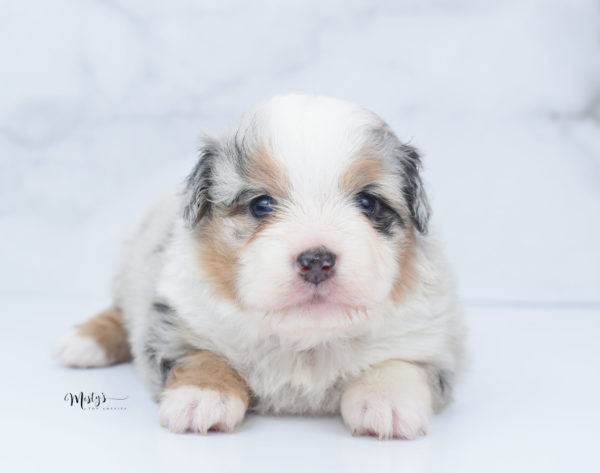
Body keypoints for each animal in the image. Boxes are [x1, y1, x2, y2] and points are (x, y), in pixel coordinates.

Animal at [54, 93, 466, 438]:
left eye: (367, 203)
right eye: (261, 205)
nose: (316, 260)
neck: (304, 341)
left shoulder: (430, 336)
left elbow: (399, 361)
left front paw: (387, 402)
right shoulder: (177, 317)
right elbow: (201, 355)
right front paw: (202, 396)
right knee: (119, 313)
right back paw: (82, 342)